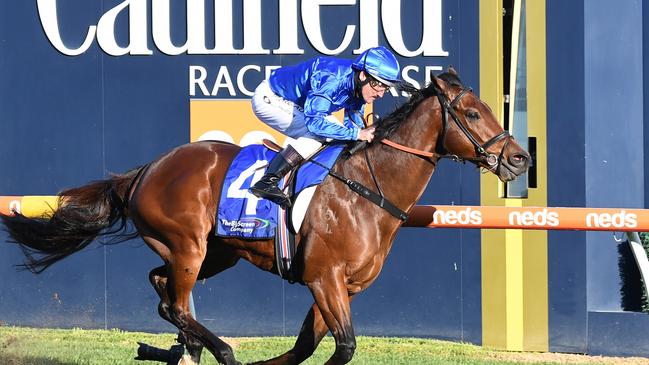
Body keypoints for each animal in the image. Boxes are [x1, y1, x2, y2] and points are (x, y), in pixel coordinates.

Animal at [1, 69, 528, 364]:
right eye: (472, 113)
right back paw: (221, 351)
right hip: (188, 245)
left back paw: (190, 346)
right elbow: (343, 346)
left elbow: (305, 347)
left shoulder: (342, 286)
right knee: (176, 303)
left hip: (215, 252)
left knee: (163, 289)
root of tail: (144, 170)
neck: (367, 190)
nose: (520, 159)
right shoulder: (323, 276)